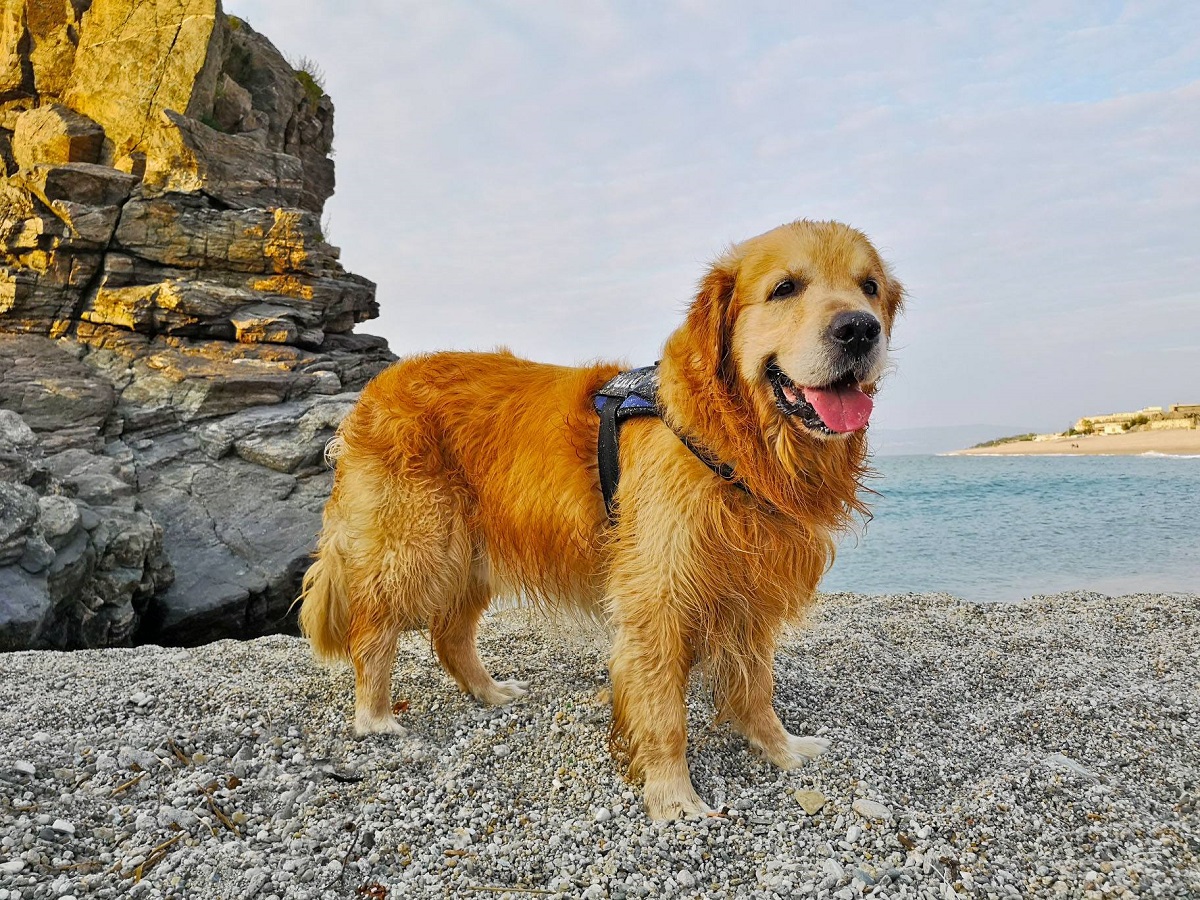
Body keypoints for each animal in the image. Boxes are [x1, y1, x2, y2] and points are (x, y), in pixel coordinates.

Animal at [300, 218, 902, 816]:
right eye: (785, 288)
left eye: (869, 287)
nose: (859, 330)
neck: (734, 442)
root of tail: (377, 388)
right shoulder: (658, 594)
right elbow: (663, 710)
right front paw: (674, 797)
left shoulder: (753, 587)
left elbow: (756, 685)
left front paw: (779, 747)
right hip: (416, 544)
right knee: (372, 629)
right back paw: (375, 716)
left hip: (473, 553)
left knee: (449, 634)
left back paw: (490, 692)